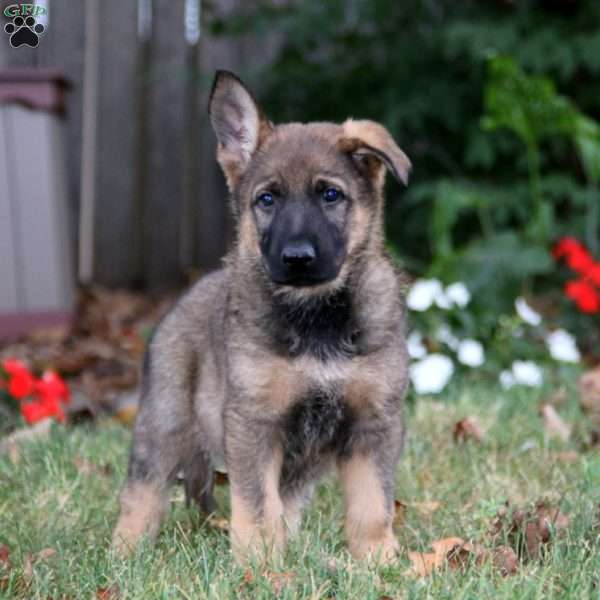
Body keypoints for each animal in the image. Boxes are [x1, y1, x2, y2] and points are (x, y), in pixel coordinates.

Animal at [111, 70, 412, 564]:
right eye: (267, 199)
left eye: (331, 195)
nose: (297, 258)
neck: (316, 319)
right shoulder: (254, 425)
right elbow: (255, 506)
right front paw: (257, 568)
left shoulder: (374, 423)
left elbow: (372, 505)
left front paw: (378, 563)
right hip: (164, 423)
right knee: (143, 492)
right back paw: (124, 552)